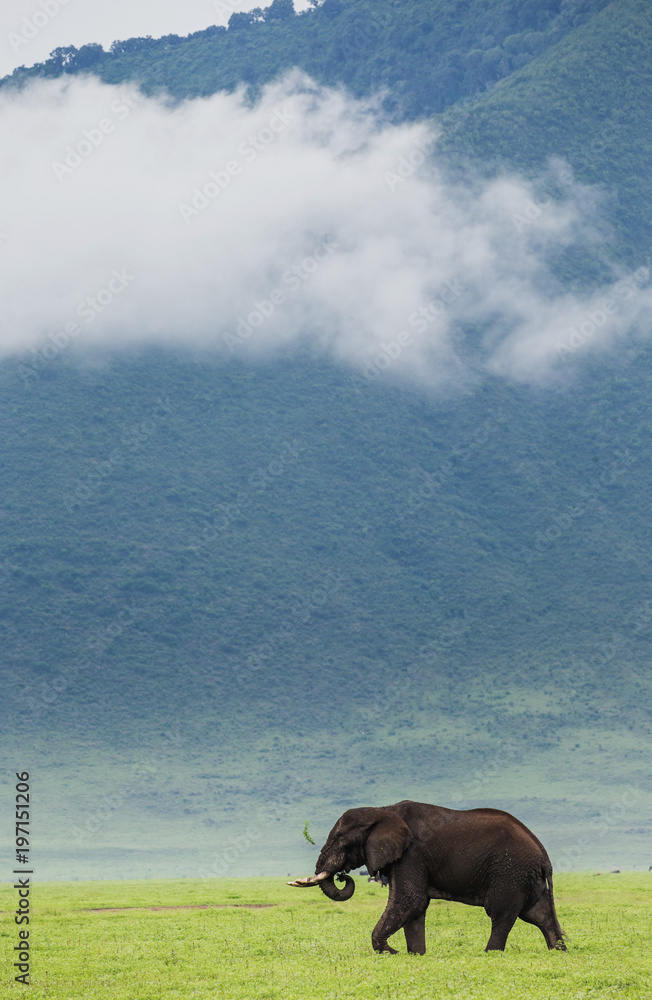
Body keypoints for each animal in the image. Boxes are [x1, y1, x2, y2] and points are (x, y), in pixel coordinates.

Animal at [288, 800, 566, 955]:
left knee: (501, 913)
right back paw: (558, 951)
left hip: (509, 873)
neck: (383, 811)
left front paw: (390, 952)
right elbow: (415, 907)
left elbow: (410, 900)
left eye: (341, 841)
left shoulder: (411, 853)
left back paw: (489, 953)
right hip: (526, 877)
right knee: (538, 914)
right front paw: (415, 955)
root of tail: (543, 855)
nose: (343, 876)